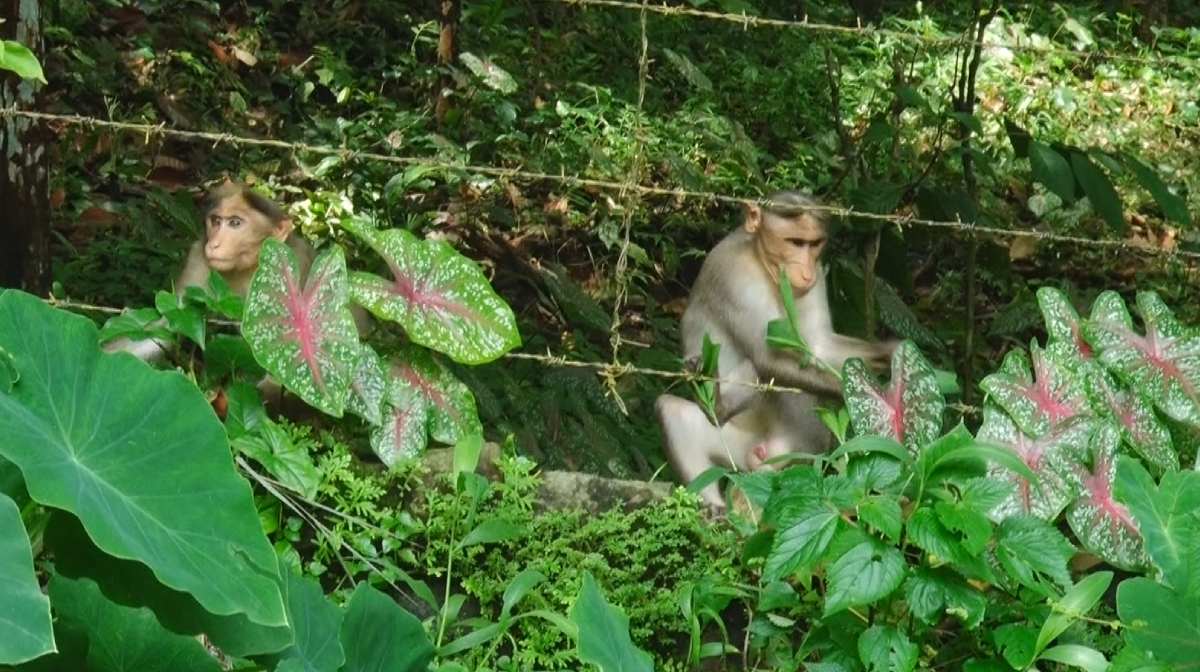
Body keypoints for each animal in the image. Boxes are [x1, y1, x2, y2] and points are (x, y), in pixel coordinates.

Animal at [656, 190, 897, 511]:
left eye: (813, 244)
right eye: (794, 242)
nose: (805, 270)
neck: (759, 259)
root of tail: (768, 451)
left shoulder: (818, 274)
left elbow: (818, 346)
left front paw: (892, 354)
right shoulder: (734, 273)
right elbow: (766, 357)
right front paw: (874, 396)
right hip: (734, 445)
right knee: (677, 409)